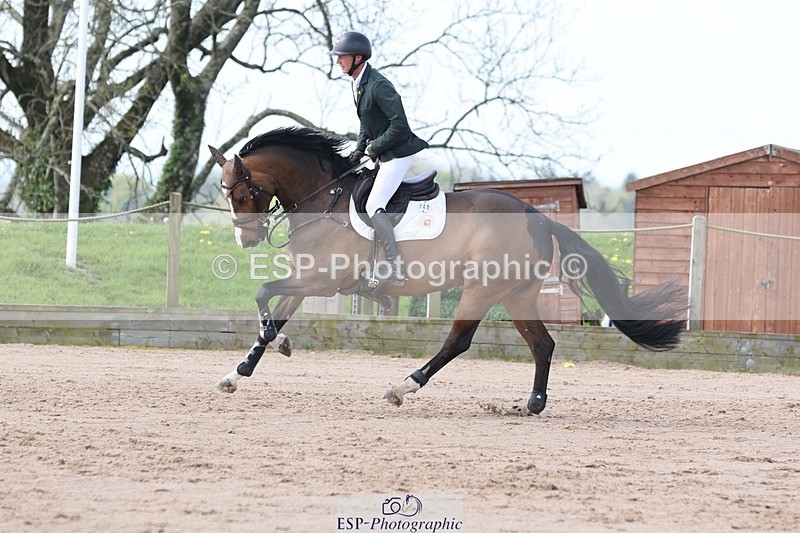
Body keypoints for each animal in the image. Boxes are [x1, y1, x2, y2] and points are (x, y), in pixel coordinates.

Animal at [207, 127, 686, 414]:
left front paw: (280, 343)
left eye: (241, 195)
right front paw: (237, 373)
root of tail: (537, 216)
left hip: (482, 289)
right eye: (225, 195)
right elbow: (270, 312)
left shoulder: (321, 282)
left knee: (458, 341)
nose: (246, 240)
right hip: (516, 295)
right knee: (543, 345)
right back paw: (531, 404)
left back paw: (404, 386)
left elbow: (262, 294)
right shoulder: (305, 281)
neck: (324, 198)